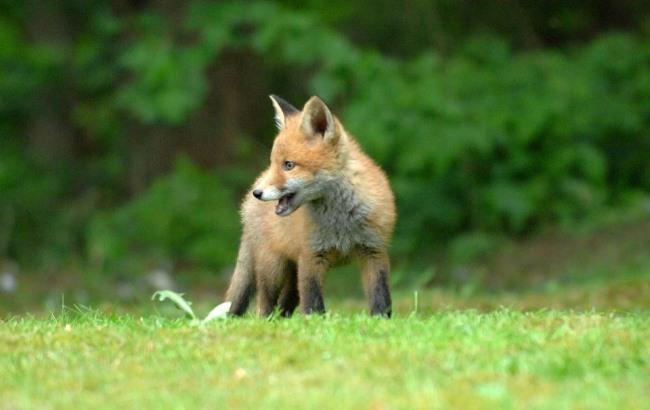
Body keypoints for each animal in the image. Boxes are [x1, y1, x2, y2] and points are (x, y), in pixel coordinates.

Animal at [223, 95, 394, 318]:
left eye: (288, 165)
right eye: (273, 163)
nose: (257, 193)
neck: (340, 221)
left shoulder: (374, 250)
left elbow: (381, 297)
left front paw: (381, 321)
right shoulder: (311, 255)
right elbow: (313, 301)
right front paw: (316, 322)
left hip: (291, 274)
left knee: (284, 305)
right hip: (273, 266)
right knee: (265, 303)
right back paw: (267, 321)